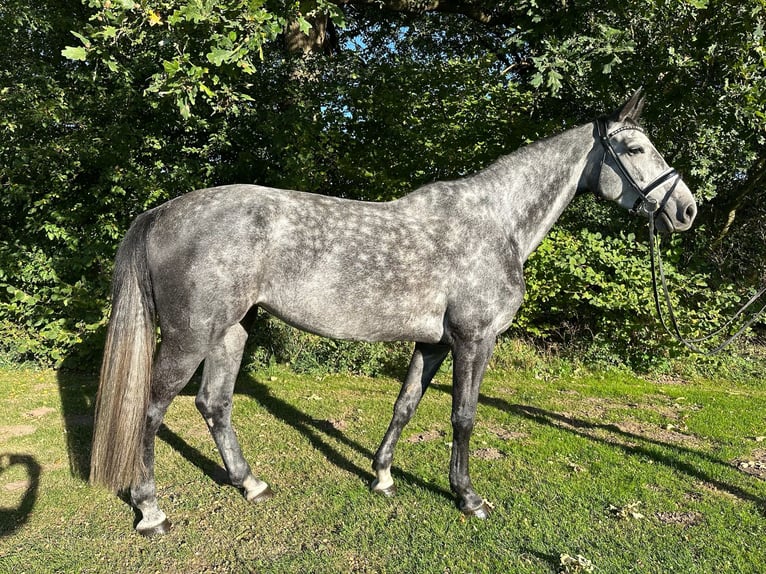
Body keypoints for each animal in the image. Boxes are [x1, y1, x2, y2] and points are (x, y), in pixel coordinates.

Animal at [89, 89, 697, 535]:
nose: (686, 210)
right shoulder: (474, 339)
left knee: (214, 404)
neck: (495, 222)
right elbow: (463, 416)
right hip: (190, 337)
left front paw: (381, 475)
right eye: (635, 149)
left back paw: (250, 483)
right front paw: (468, 497)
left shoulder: (434, 342)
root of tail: (161, 213)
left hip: (233, 330)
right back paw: (150, 510)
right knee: (151, 409)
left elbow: (406, 405)